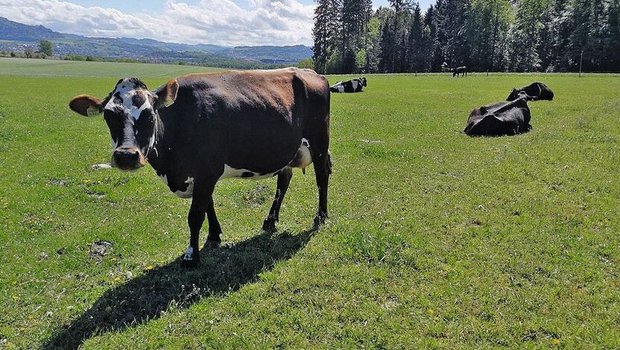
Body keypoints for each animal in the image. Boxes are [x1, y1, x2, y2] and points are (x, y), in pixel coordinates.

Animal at [68, 67, 332, 266]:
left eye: (150, 115)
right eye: (108, 116)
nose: (126, 156)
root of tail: (311, 72)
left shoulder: (206, 171)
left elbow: (195, 214)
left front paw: (191, 254)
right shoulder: (200, 175)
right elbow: (208, 205)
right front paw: (214, 235)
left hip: (319, 142)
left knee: (321, 177)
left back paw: (320, 217)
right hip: (287, 150)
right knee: (283, 180)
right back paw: (270, 220)